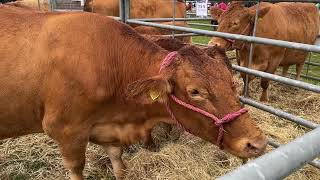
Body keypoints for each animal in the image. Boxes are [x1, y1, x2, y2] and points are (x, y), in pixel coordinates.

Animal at [0, 5, 266, 180]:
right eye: (195, 92)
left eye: (232, 83)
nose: (257, 143)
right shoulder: (66, 133)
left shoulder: (110, 132)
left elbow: (119, 165)